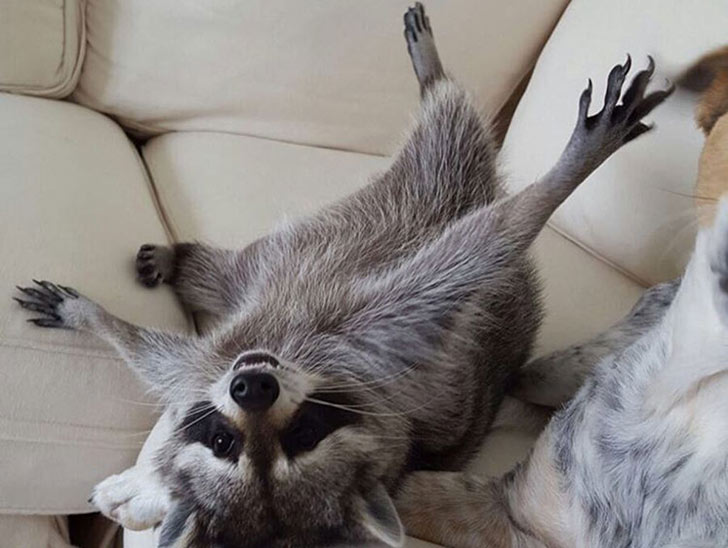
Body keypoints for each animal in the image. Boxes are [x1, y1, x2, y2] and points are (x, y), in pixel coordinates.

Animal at [15, 4, 671, 546]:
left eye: (303, 434)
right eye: (224, 442)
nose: (251, 387)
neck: (285, 359)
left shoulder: (357, 342)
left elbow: (480, 250)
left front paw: (567, 174)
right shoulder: (226, 363)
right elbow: (149, 351)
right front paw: (92, 318)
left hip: (414, 194)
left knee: (449, 140)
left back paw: (436, 79)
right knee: (236, 270)